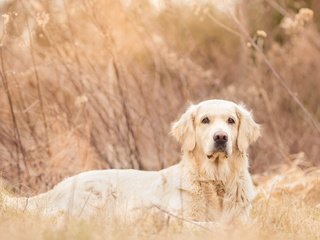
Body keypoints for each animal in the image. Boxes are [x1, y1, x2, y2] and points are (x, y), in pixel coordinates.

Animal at [1, 99, 260, 223]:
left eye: (230, 121)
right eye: (205, 120)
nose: (221, 137)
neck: (216, 181)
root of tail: (55, 189)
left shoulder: (244, 220)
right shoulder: (182, 218)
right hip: (96, 192)